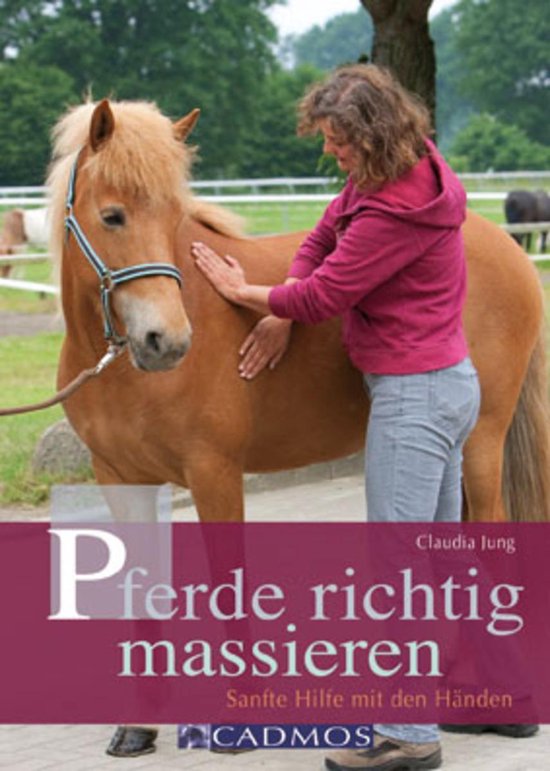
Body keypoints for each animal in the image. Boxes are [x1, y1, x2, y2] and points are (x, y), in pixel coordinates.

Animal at [48, 99, 550, 525]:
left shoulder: (214, 473)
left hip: (481, 440)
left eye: (176, 218)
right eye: (112, 216)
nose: (167, 342)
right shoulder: (122, 482)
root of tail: (511, 249)